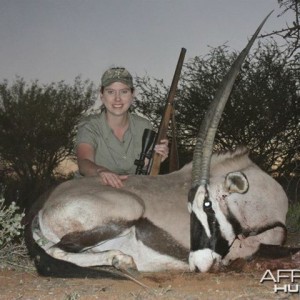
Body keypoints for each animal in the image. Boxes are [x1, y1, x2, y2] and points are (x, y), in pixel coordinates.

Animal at [24, 13, 288, 276]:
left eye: (208, 205)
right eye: (196, 208)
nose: (197, 263)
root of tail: (44, 203)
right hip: (129, 208)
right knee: (57, 249)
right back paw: (122, 260)